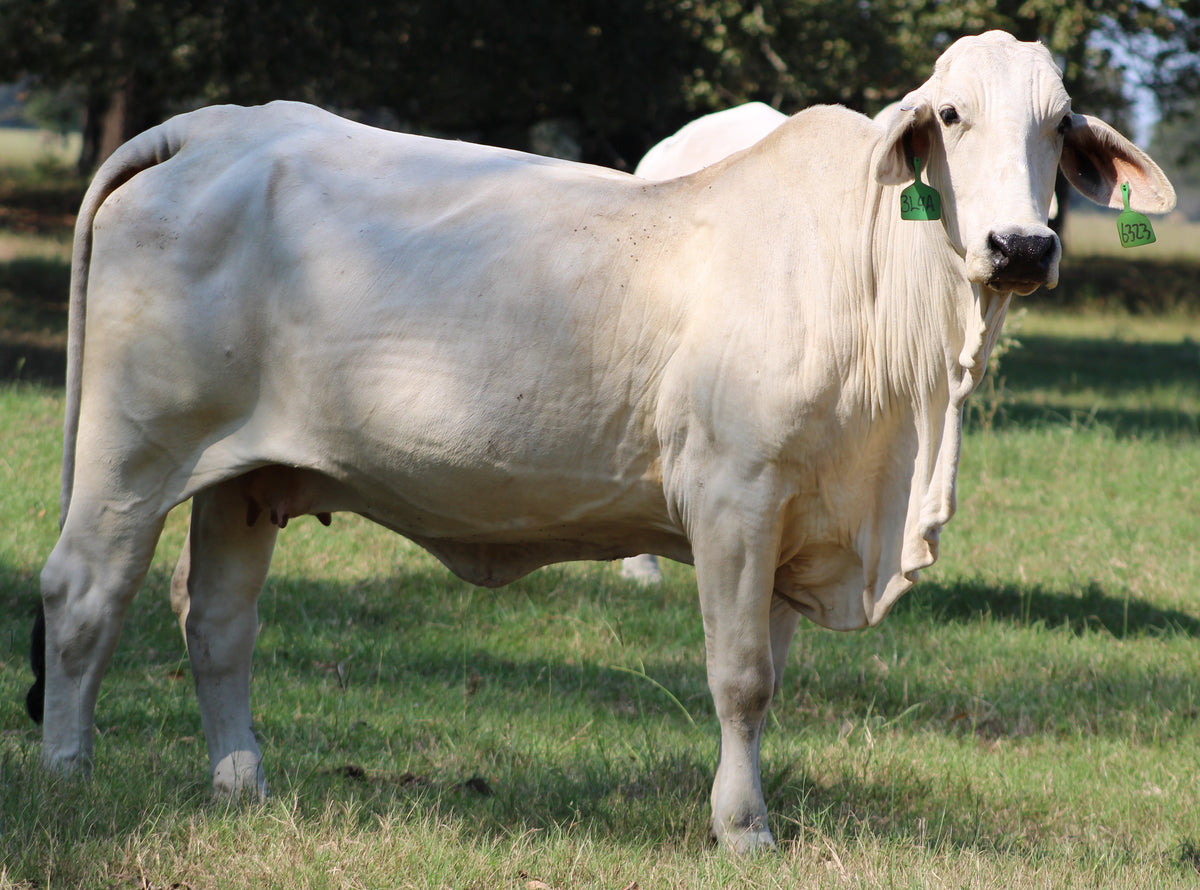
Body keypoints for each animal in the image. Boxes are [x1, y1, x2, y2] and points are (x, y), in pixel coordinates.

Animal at [30, 31, 1171, 854]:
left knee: (217, 623)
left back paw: (244, 787)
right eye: (951, 113)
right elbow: (740, 676)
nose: (1021, 246)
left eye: (1058, 122)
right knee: (84, 595)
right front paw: (743, 831)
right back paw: (67, 777)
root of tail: (212, 130)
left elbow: (770, 675)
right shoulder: (735, 494)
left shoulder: (796, 517)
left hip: (246, 477)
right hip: (132, 451)